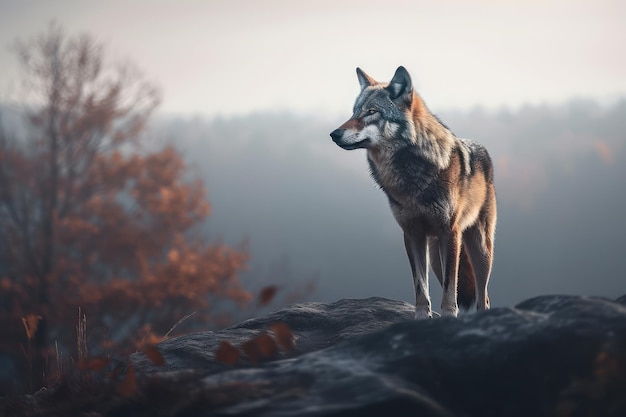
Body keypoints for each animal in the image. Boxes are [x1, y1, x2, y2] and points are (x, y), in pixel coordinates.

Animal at [330, 66, 494, 318]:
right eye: (355, 112)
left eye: (372, 112)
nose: (334, 134)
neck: (410, 174)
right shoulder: (412, 234)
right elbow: (420, 286)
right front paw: (421, 317)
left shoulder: (449, 232)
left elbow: (449, 290)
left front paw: (448, 316)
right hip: (436, 256)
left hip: (479, 249)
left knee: (483, 297)